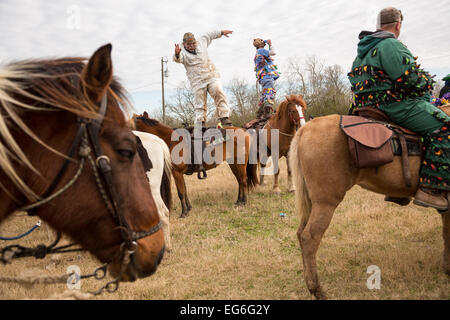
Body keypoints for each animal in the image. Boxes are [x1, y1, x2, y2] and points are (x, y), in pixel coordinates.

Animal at [288, 106, 450, 298]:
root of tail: (306, 129)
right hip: (325, 203)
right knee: (309, 238)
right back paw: (317, 290)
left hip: (311, 202)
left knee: (300, 233)